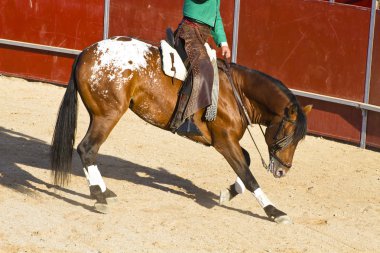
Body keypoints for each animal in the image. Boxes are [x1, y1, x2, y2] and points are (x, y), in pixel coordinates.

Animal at [50, 36, 312, 223]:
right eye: (288, 135)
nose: (282, 171)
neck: (236, 92)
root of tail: (87, 52)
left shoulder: (228, 141)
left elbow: (245, 162)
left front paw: (229, 192)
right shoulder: (224, 141)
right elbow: (248, 175)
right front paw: (274, 211)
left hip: (100, 115)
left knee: (88, 150)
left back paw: (105, 192)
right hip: (107, 115)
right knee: (87, 148)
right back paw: (99, 196)